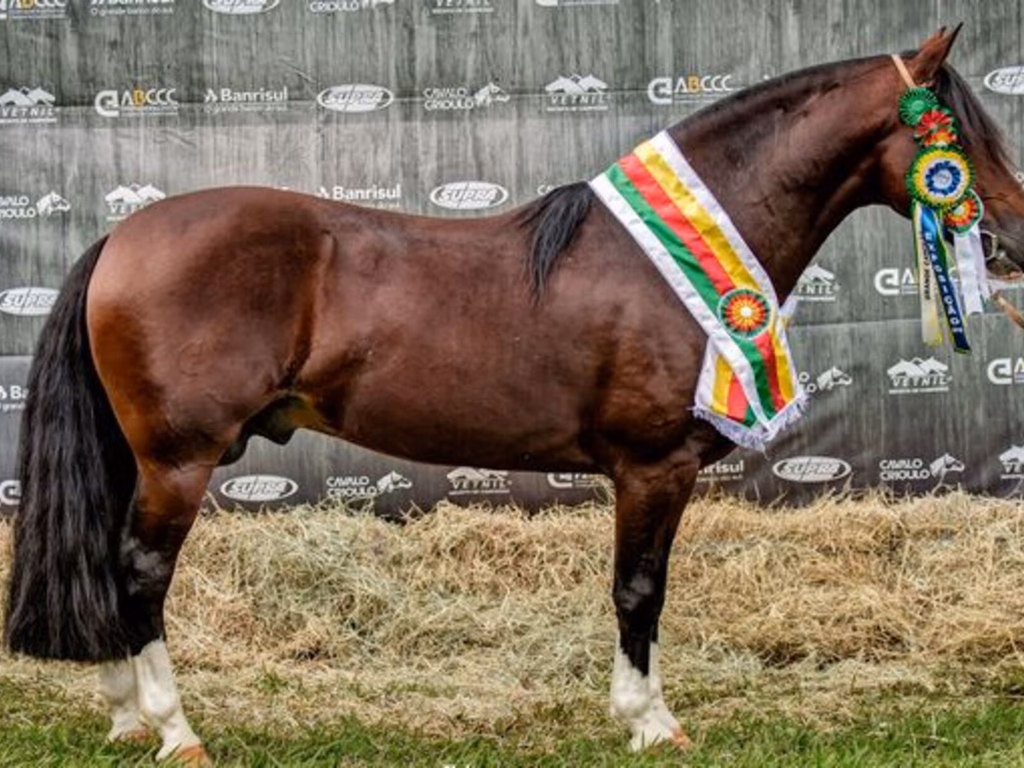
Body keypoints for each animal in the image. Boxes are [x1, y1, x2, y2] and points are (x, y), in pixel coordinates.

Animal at [4, 27, 1024, 764]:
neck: (673, 261)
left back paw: (123, 715)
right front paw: (649, 721)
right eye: (958, 136)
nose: (1012, 240)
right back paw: (175, 730)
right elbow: (639, 590)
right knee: (140, 571)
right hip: (178, 459)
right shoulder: (653, 469)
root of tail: (124, 237)